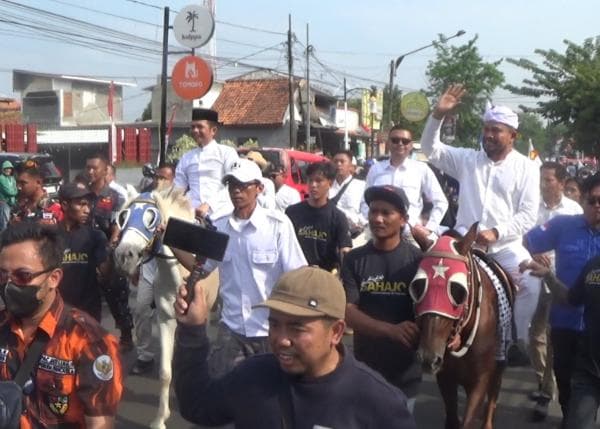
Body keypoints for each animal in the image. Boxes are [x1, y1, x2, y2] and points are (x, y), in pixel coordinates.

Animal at [112, 186, 218, 428]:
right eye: (123, 217)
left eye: (151, 218)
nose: (124, 256)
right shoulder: (165, 318)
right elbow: (164, 373)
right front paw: (160, 419)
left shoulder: (201, 312)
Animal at [412, 224, 516, 428]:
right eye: (418, 287)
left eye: (457, 290)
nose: (428, 357)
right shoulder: (445, 377)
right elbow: (452, 417)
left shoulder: (481, 379)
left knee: (493, 396)